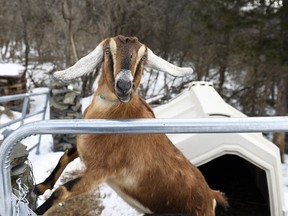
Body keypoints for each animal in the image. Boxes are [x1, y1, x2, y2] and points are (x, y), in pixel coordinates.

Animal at [33, 34, 228, 215]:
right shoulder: (83, 149)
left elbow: (62, 191)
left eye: (142, 58)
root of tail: (211, 196)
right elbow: (65, 156)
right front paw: (40, 187)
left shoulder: (100, 172)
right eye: (108, 51)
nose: (124, 85)